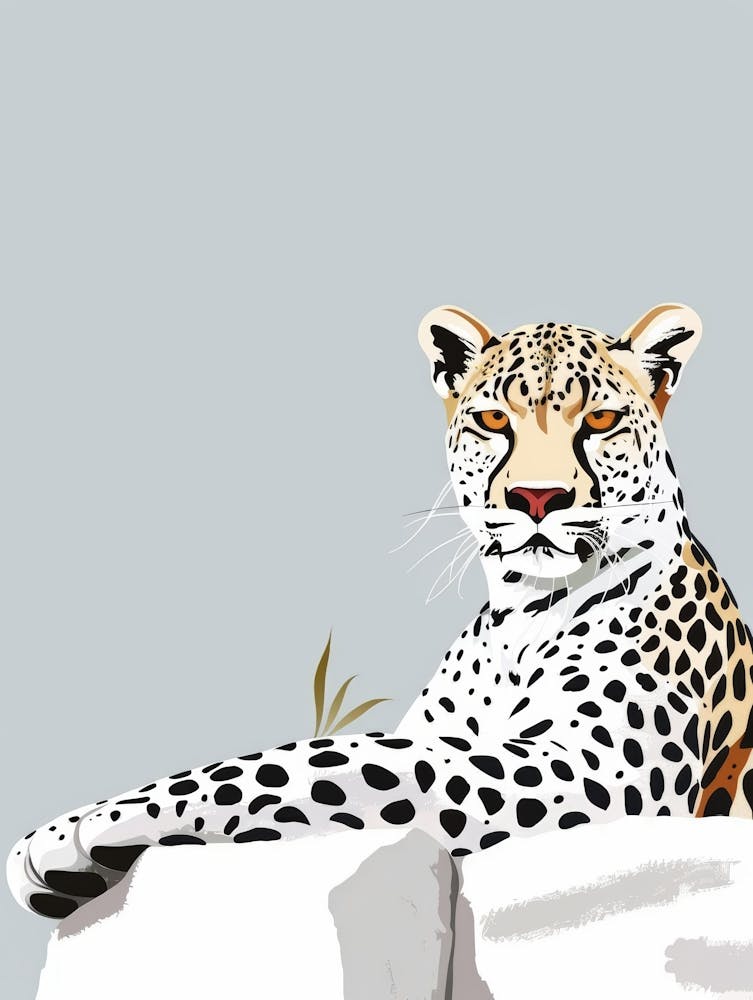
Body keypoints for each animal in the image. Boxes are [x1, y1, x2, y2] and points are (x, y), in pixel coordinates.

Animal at [8, 301, 753, 921]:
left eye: (599, 421)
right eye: (493, 420)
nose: (536, 498)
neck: (516, 616)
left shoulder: (594, 774)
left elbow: (325, 758)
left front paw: (82, 830)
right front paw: (62, 831)